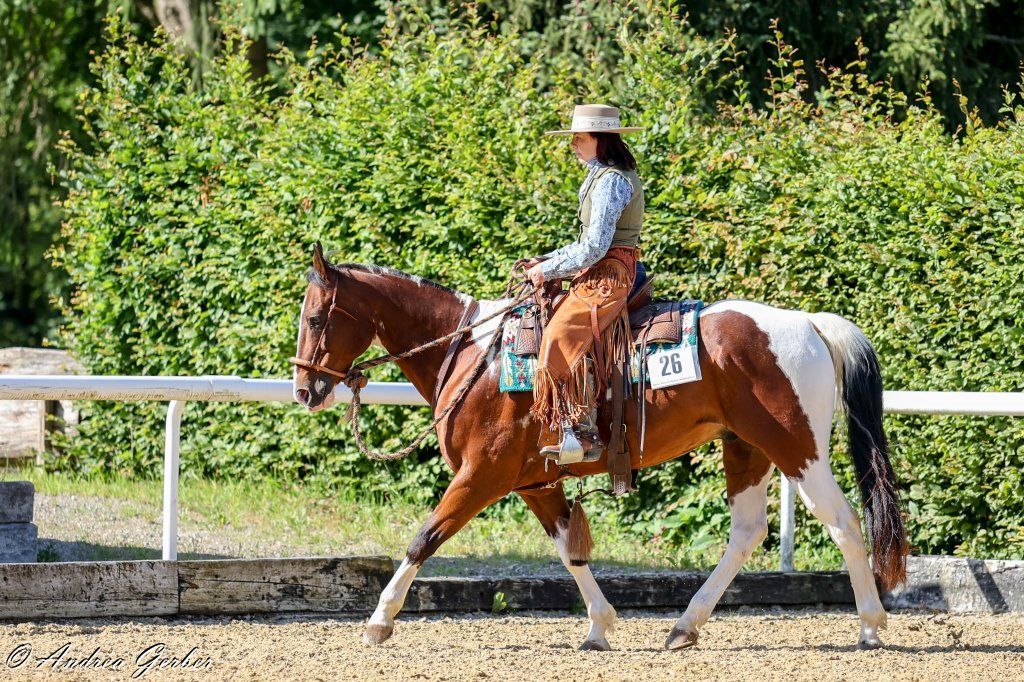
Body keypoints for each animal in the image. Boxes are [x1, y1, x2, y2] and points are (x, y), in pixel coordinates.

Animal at [291, 242, 907, 651]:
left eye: (317, 317)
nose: (303, 389)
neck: (474, 355)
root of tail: (809, 324)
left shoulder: (480, 476)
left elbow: (424, 538)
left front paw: (380, 620)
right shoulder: (534, 482)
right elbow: (571, 550)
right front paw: (600, 625)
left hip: (797, 449)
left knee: (844, 524)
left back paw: (870, 627)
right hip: (746, 448)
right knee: (747, 532)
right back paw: (684, 627)